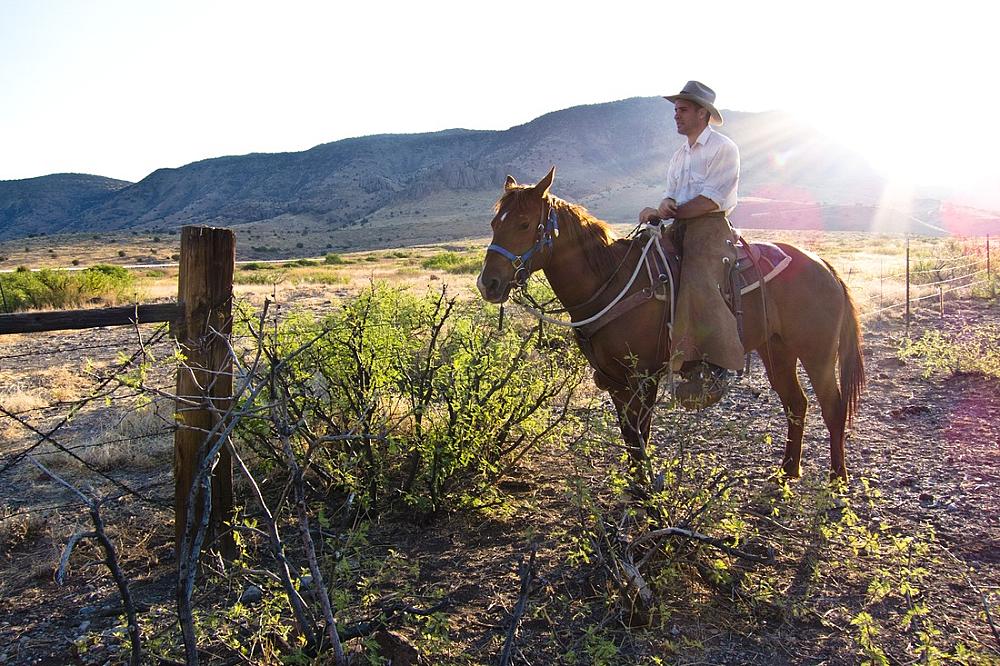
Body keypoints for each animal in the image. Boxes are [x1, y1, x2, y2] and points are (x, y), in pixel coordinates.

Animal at [477, 168, 864, 482]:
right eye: (494, 224)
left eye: (524, 224)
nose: (489, 284)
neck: (612, 281)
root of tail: (823, 265)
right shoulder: (614, 378)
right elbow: (629, 436)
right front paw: (636, 489)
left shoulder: (644, 375)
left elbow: (641, 435)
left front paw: (648, 497)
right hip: (777, 351)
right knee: (796, 404)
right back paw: (786, 473)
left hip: (816, 354)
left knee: (831, 407)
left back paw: (837, 479)